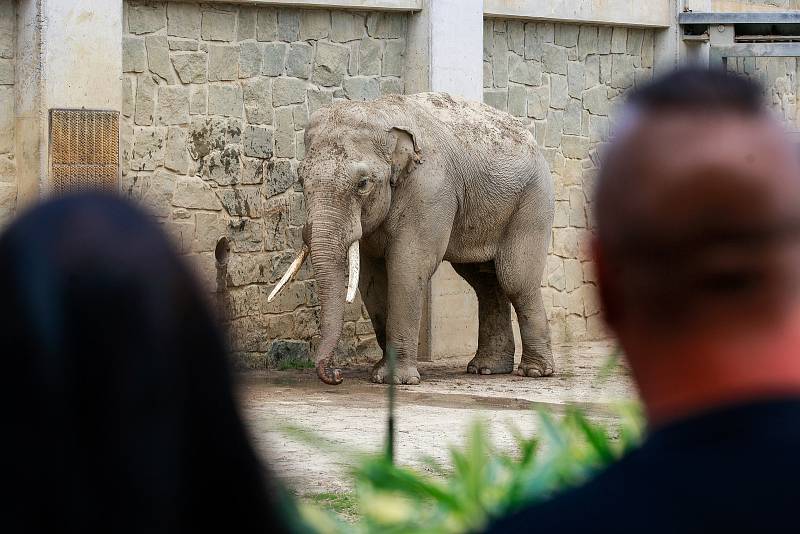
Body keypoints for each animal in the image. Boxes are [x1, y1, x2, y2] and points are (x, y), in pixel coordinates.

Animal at [272, 91, 552, 386]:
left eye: (363, 184)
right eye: (301, 180)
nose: (336, 375)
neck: (380, 112)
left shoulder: (429, 190)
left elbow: (407, 265)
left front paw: (397, 380)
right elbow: (372, 277)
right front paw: (381, 375)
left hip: (533, 202)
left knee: (515, 280)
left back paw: (534, 371)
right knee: (483, 281)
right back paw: (486, 368)